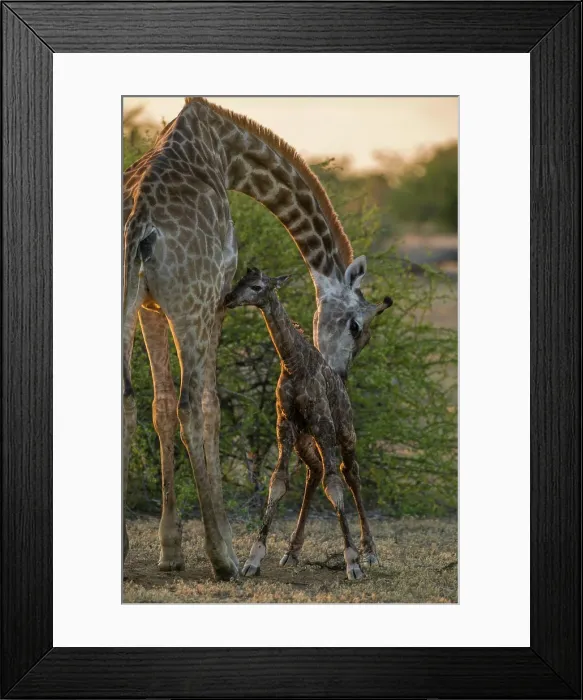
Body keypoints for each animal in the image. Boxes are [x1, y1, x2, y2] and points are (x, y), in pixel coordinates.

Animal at [224, 268, 392, 579]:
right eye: (239, 280)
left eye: (257, 286)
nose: (228, 298)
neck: (293, 363)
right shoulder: (285, 426)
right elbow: (278, 482)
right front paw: (253, 559)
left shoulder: (323, 424)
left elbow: (334, 486)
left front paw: (353, 562)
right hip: (305, 439)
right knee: (314, 472)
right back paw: (292, 551)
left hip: (345, 432)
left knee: (351, 474)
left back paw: (371, 552)